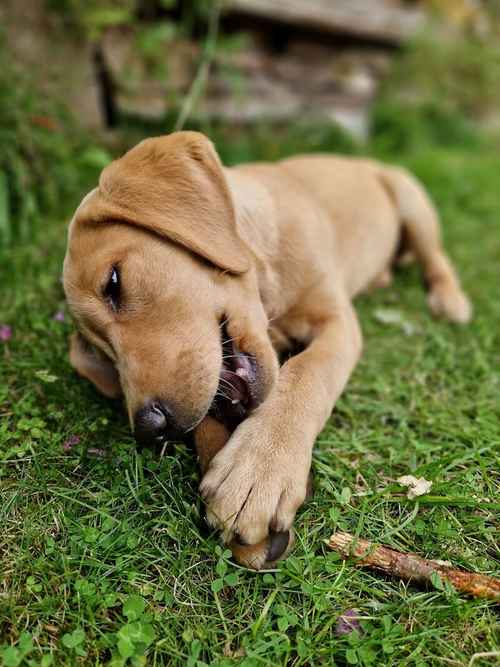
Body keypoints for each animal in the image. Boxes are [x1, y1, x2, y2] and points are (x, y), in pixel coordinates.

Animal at [61, 133, 468, 572]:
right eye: (105, 355)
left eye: (113, 283)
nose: (150, 428)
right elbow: (208, 419)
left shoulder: (337, 322)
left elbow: (304, 373)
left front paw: (259, 469)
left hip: (411, 200)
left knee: (434, 255)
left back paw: (450, 298)